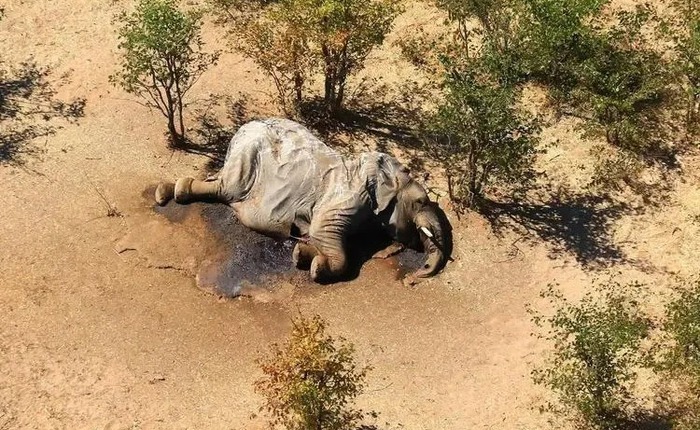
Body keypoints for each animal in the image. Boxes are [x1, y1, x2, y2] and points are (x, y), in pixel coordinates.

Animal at [155, 119, 452, 284]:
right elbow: (323, 232)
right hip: (247, 156)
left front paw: (301, 254)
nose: (416, 277)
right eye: (420, 201)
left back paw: (166, 191)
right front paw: (316, 267)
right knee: (226, 189)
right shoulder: (348, 197)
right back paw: (170, 192)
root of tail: (243, 128)